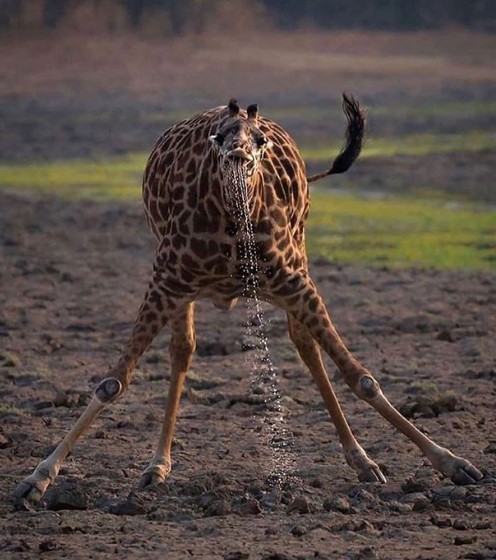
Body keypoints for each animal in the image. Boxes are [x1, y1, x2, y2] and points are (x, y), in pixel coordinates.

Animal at [14, 94, 480, 500]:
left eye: (258, 140)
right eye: (218, 137)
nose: (239, 155)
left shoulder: (293, 280)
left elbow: (361, 377)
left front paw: (455, 464)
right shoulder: (166, 280)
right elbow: (113, 382)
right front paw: (37, 479)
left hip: (299, 256)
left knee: (305, 344)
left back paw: (363, 461)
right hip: (183, 283)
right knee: (183, 349)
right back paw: (157, 465)